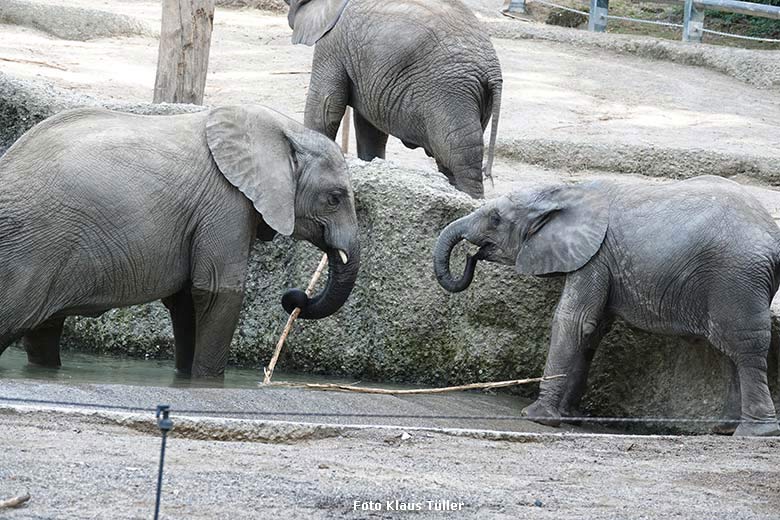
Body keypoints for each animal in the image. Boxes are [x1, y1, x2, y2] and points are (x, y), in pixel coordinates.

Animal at [0, 104, 360, 378]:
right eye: (334, 198)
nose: (294, 297)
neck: (283, 128)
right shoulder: (226, 204)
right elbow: (218, 291)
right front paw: (206, 383)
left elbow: (187, 299)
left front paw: (185, 379)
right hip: (30, 250)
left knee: (43, 332)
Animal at [284, 0, 502, 199]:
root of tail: (493, 70)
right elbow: (370, 128)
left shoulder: (333, 42)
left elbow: (325, 109)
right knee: (451, 159)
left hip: (450, 91)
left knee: (459, 156)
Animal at [432, 177, 780, 436]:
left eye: (495, 219)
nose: (471, 257)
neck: (565, 191)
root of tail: (773, 239)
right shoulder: (602, 261)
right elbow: (593, 329)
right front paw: (570, 415)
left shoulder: (595, 257)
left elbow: (573, 320)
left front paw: (537, 416)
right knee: (728, 349)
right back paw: (724, 428)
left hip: (737, 277)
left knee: (744, 347)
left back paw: (754, 433)